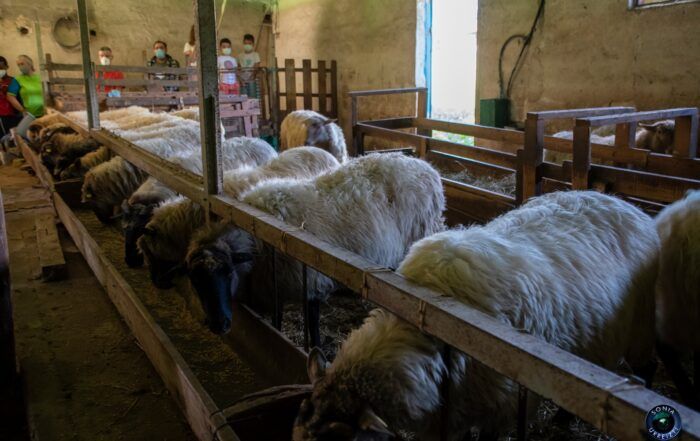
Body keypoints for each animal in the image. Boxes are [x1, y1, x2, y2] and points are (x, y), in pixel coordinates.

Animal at [188, 153, 445, 337]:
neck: (260, 235)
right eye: (196, 282)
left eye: (228, 273)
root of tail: (426, 166)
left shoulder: (310, 283)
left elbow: (313, 330)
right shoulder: (276, 287)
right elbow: (277, 322)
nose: (218, 325)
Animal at [295, 190, 659, 441]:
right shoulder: (453, 412)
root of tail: (624, 204)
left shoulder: (500, 406)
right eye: (302, 415)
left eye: (336, 435)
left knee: (646, 368)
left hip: (640, 326)